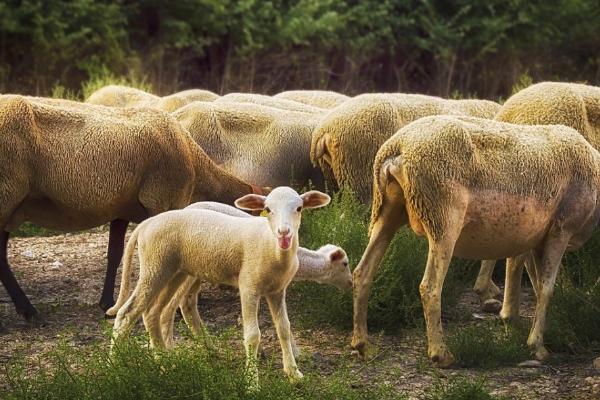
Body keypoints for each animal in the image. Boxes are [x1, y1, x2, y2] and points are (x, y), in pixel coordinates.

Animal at [0, 94, 262, 318]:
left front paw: (107, 304)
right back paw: (26, 311)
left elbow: (114, 254)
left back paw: (27, 310)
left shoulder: (120, 210)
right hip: (6, 193)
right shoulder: (162, 200)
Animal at [109, 188, 330, 384]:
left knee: (152, 312)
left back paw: (165, 362)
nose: (284, 233)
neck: (270, 246)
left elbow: (283, 328)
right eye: (267, 209)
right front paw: (251, 383)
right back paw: (114, 369)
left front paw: (294, 374)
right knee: (127, 314)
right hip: (155, 267)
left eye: (299, 208)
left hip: (174, 271)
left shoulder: (277, 291)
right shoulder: (248, 286)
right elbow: (252, 335)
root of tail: (145, 224)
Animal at [352, 115, 600, 366]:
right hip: (443, 220)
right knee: (430, 287)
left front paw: (512, 319)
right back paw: (440, 353)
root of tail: (398, 146)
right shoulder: (561, 229)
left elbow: (527, 276)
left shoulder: (534, 237)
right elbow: (546, 288)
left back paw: (362, 344)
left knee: (362, 272)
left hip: (387, 212)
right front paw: (537, 346)